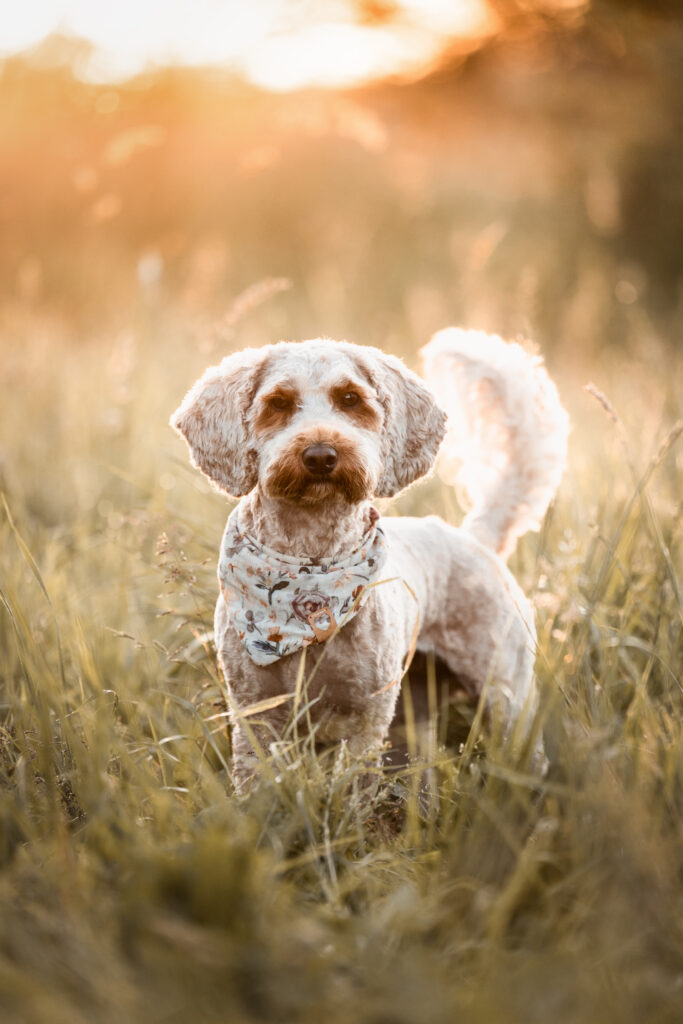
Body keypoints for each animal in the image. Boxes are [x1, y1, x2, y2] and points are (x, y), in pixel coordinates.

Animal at [172, 327, 573, 782]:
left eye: (350, 399)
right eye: (278, 403)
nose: (320, 455)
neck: (312, 566)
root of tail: (476, 539)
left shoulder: (365, 719)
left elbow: (355, 787)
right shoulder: (255, 714)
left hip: (505, 694)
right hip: (410, 721)